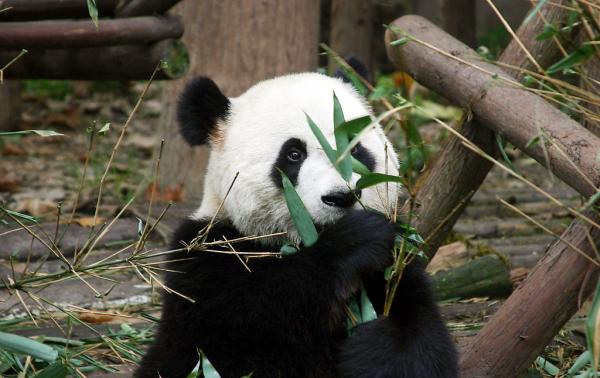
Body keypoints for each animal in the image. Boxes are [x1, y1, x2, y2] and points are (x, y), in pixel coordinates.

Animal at [134, 72, 458, 376]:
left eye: (355, 148)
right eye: (293, 154)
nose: (341, 197)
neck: (302, 239)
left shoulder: (396, 263)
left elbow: (420, 331)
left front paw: (375, 349)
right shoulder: (207, 260)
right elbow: (255, 313)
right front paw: (357, 240)